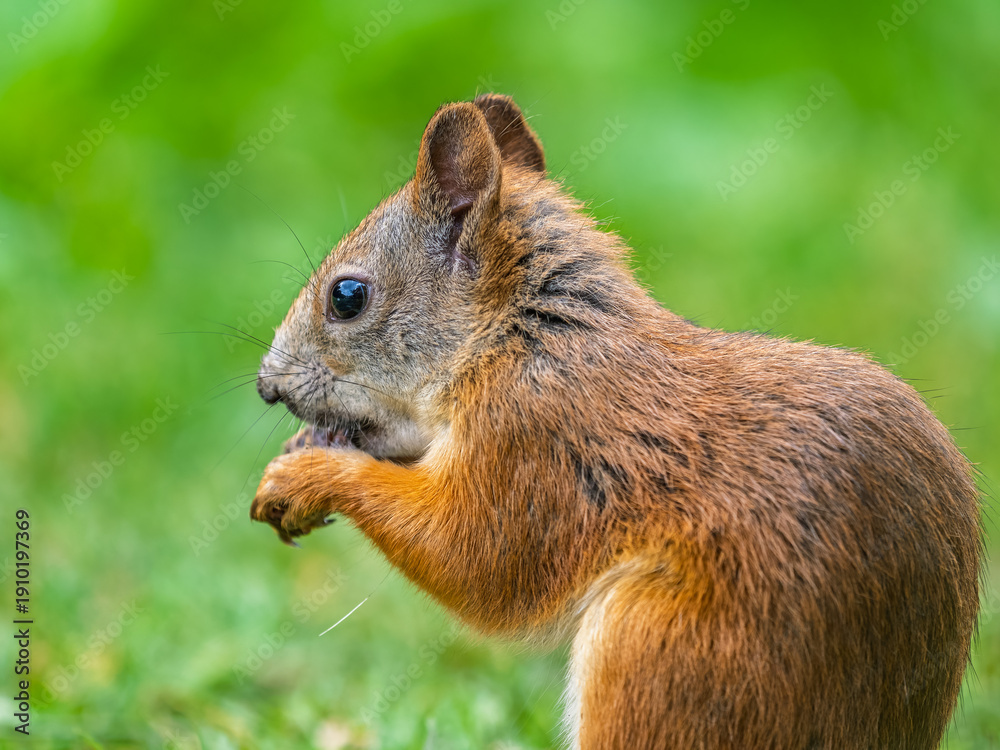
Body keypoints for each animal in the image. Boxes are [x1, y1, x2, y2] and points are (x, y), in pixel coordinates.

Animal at [250, 94, 981, 749]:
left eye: (347, 296)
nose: (265, 385)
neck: (520, 340)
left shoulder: (535, 440)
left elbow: (475, 559)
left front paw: (306, 476)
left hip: (657, 655)